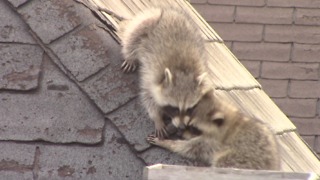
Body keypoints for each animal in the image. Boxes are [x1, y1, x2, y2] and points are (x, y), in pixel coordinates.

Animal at [118, 7, 210, 138]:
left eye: (189, 109)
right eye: (175, 108)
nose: (182, 127)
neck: (184, 71)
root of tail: (169, 12)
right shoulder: (151, 76)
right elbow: (148, 97)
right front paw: (157, 118)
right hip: (149, 23)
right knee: (134, 37)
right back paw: (130, 56)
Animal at [148, 90, 280, 170]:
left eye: (194, 128)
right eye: (187, 124)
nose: (180, 132)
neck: (230, 122)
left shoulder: (214, 142)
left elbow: (189, 148)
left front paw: (167, 143)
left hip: (243, 159)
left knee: (224, 162)